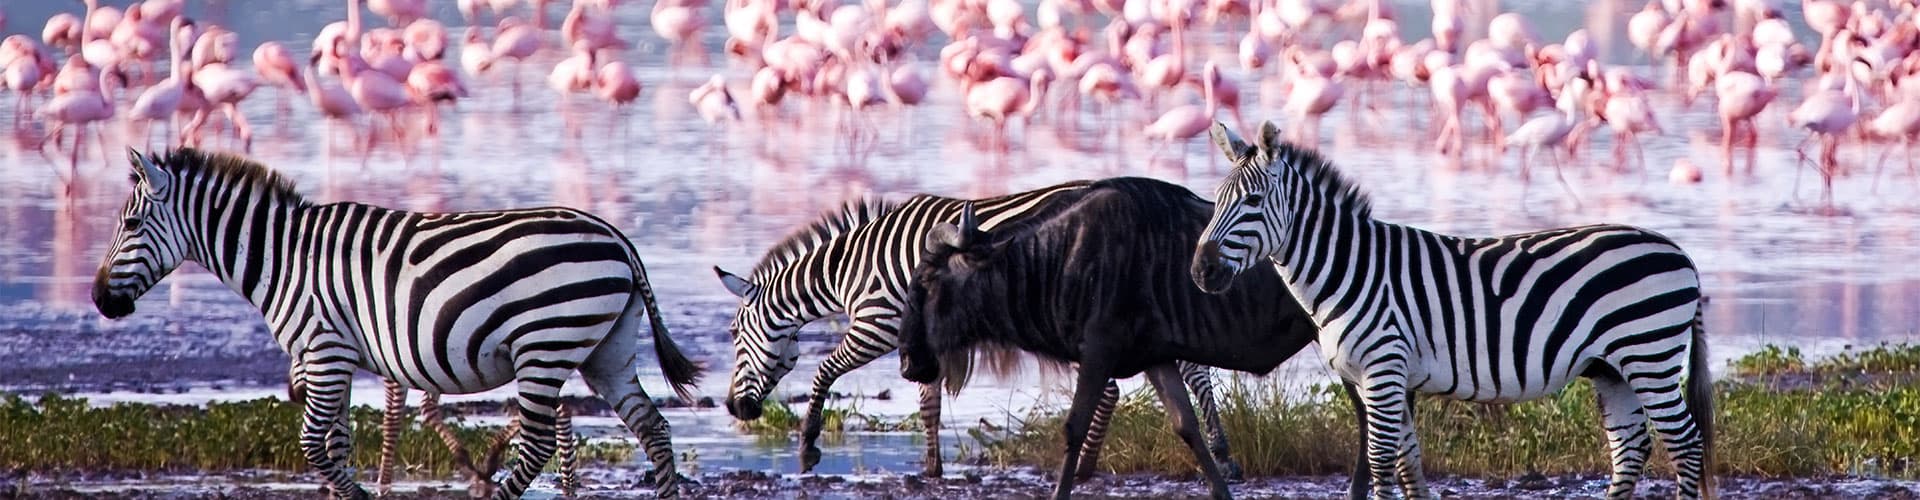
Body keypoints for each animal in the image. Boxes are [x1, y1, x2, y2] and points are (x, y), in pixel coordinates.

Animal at [92, 148, 700, 499]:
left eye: (130, 223)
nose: (99, 299)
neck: (284, 258)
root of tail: (615, 236)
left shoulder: (325, 349)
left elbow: (313, 444)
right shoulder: (331, 358)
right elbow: (335, 444)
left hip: (544, 347)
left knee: (538, 443)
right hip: (605, 349)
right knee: (653, 428)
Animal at [714, 180, 1244, 479]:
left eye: (736, 335)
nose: (733, 408)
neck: (852, 267)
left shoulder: (878, 324)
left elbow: (824, 373)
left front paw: (807, 449)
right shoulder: (920, 338)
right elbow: (927, 404)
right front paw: (932, 469)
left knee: (1143, 379)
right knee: (1183, 371)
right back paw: (1220, 453)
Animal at [1188, 122, 1715, 500]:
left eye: (1253, 201)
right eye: (1215, 200)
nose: (1200, 270)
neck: (1350, 270)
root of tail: (1680, 252)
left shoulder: (1384, 369)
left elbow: (1381, 465)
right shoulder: (1387, 378)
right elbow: (1408, 467)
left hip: (1648, 356)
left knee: (1686, 445)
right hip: (1612, 369)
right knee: (1631, 449)